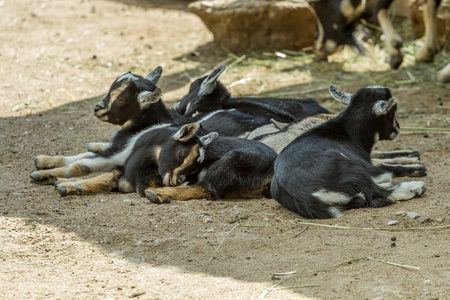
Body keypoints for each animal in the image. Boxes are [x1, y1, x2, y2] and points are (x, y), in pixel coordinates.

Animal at [270, 83, 426, 219]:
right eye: (392, 109)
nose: (398, 128)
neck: (347, 133)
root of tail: (304, 195)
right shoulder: (369, 167)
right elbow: (386, 171)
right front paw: (418, 169)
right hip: (352, 171)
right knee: (378, 195)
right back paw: (415, 188)